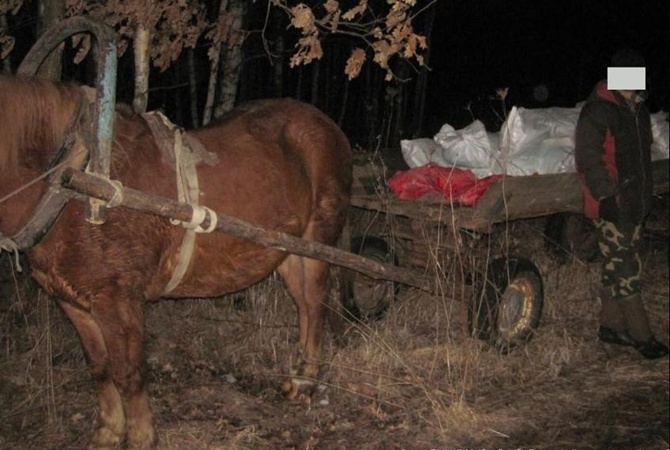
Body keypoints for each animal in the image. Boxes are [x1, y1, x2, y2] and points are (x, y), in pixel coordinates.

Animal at [0, 75, 354, 448]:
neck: (75, 185)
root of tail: (327, 124)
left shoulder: (119, 299)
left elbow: (127, 372)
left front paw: (142, 437)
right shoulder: (73, 302)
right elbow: (99, 368)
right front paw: (108, 432)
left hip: (317, 238)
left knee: (315, 302)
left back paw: (306, 380)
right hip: (284, 248)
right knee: (302, 304)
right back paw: (297, 373)